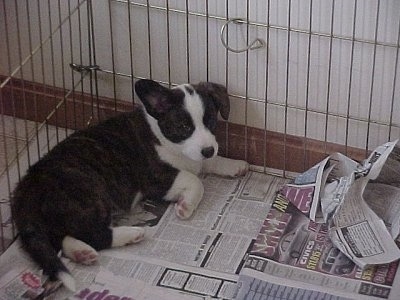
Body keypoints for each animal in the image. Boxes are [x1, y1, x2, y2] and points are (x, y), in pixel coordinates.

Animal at [10, 79, 248, 290]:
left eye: (211, 122)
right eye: (183, 127)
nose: (207, 150)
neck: (164, 136)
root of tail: (27, 188)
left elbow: (210, 163)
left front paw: (236, 165)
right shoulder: (157, 178)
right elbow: (195, 180)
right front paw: (185, 207)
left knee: (63, 238)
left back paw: (82, 253)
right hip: (91, 194)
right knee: (94, 234)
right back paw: (130, 234)